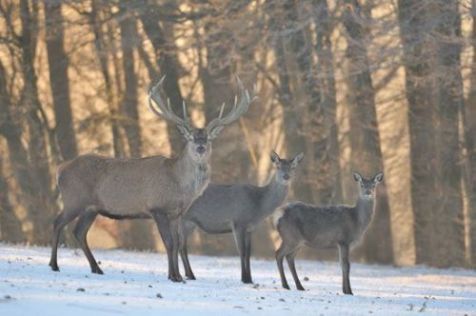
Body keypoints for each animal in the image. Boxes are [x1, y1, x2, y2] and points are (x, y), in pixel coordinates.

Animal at [48, 76, 255, 282]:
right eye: (190, 137)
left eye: (208, 138)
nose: (200, 147)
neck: (179, 186)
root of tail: (60, 170)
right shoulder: (157, 208)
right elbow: (169, 243)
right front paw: (174, 276)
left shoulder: (176, 214)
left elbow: (177, 243)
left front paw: (177, 275)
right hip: (74, 199)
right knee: (57, 222)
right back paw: (54, 265)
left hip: (91, 208)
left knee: (79, 231)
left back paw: (96, 268)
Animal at [180, 152, 304, 282]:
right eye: (278, 166)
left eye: (293, 167)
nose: (286, 176)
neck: (258, 207)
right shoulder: (238, 222)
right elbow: (242, 251)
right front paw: (244, 278)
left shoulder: (250, 228)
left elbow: (248, 253)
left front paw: (250, 278)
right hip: (184, 219)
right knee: (182, 246)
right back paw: (190, 274)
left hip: (191, 223)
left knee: (181, 246)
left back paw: (188, 274)